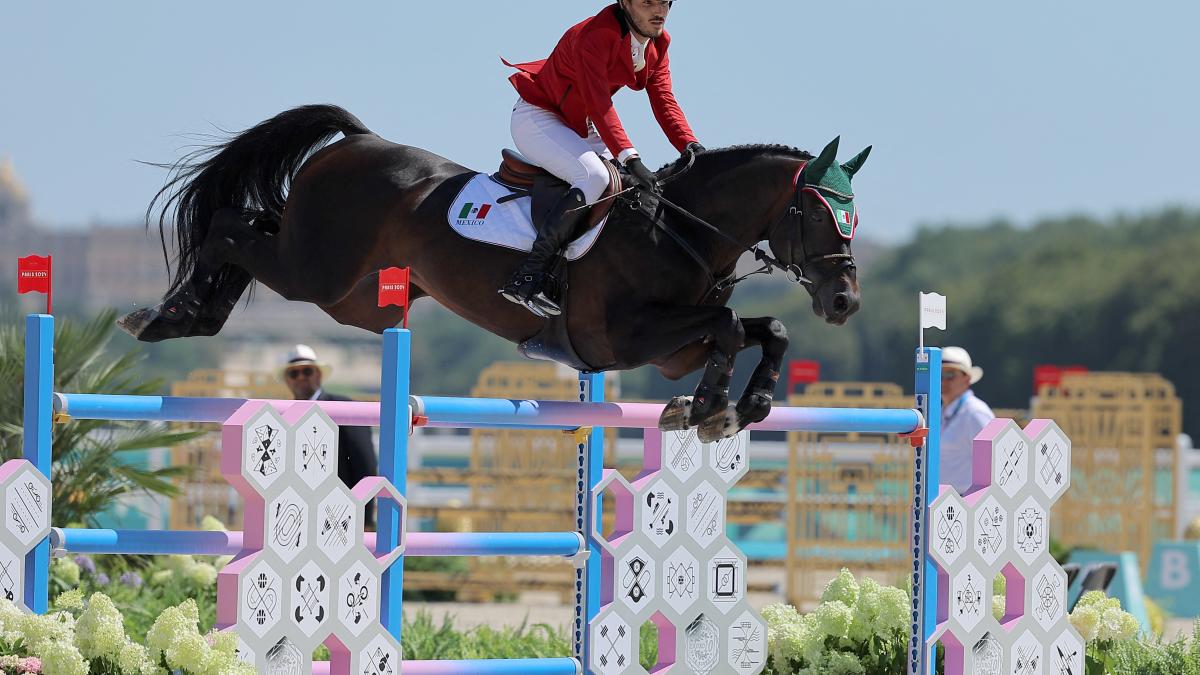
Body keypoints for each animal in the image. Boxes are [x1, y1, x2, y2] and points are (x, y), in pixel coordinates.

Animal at [124, 102, 873, 439]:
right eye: (817, 214)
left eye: (854, 216)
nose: (844, 302)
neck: (683, 230)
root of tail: (357, 138)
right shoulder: (622, 337)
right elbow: (727, 324)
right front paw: (711, 406)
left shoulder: (668, 350)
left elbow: (762, 326)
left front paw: (744, 404)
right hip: (317, 270)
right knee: (229, 226)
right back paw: (167, 317)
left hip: (353, 297)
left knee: (249, 229)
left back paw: (188, 313)